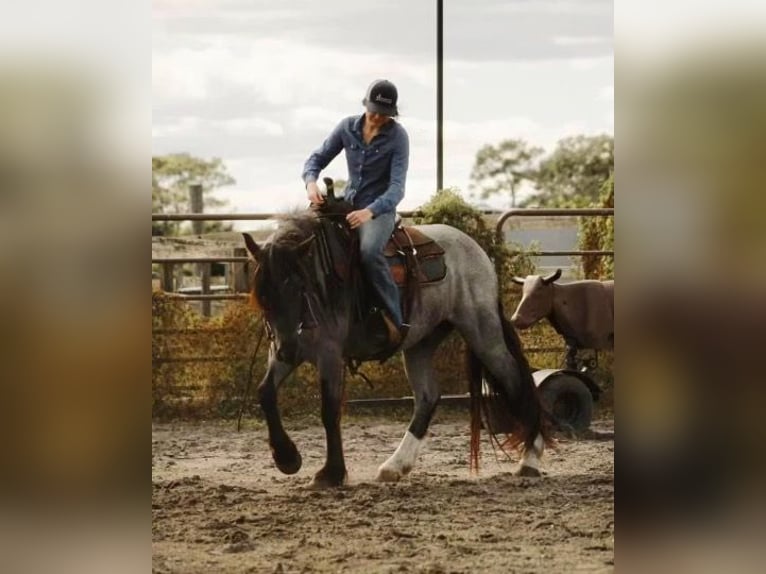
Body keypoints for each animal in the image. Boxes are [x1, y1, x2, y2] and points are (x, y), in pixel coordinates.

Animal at [243, 187, 548, 488]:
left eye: (299, 286)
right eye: (263, 295)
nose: (288, 350)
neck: (322, 280)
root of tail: (477, 252)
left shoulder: (328, 353)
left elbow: (329, 410)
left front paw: (330, 473)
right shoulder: (285, 348)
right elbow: (265, 392)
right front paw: (287, 458)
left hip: (483, 334)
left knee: (514, 380)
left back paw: (530, 459)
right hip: (420, 343)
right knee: (427, 396)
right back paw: (395, 466)